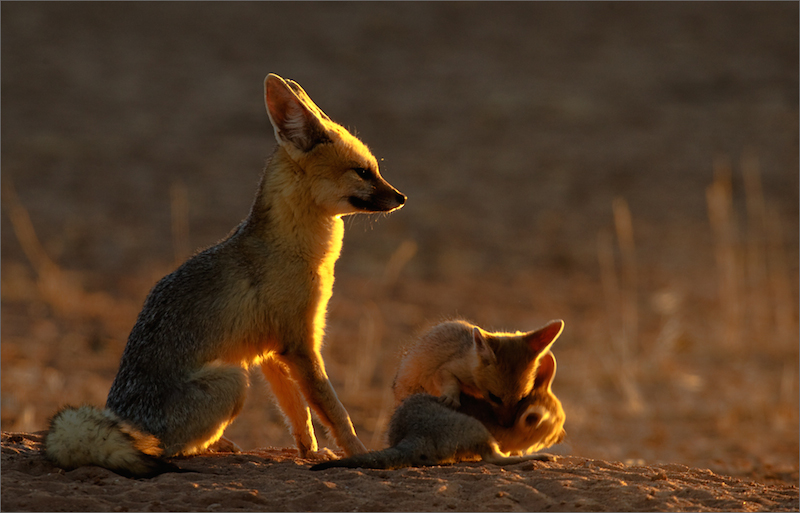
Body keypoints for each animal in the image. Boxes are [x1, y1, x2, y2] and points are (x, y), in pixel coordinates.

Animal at [44, 73, 405, 478]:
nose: (401, 197)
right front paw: (359, 452)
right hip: (234, 380)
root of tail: (125, 417)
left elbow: (298, 415)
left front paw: (310, 452)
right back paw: (206, 446)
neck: (296, 248)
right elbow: (335, 412)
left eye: (376, 169)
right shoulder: (300, 344)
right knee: (160, 450)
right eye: (362, 171)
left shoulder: (274, 352)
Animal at [310, 391, 561, 471]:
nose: (562, 434)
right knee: (492, 457)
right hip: (471, 427)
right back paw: (540, 456)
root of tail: (414, 435)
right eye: (557, 420)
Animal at [392, 319, 564, 427]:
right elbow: (451, 381)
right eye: (495, 398)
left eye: (522, 399)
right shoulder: (445, 369)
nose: (507, 426)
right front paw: (451, 397)